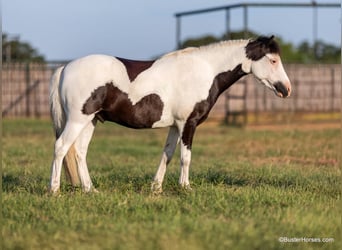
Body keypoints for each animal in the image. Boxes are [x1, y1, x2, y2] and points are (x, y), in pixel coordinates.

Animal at [48, 35, 292, 193]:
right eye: (272, 60)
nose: (286, 89)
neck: (205, 70)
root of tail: (65, 67)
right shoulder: (188, 123)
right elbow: (185, 157)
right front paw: (186, 188)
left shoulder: (175, 126)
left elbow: (168, 154)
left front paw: (156, 187)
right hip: (78, 120)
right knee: (61, 147)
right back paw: (54, 190)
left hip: (91, 121)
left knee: (80, 152)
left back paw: (90, 189)